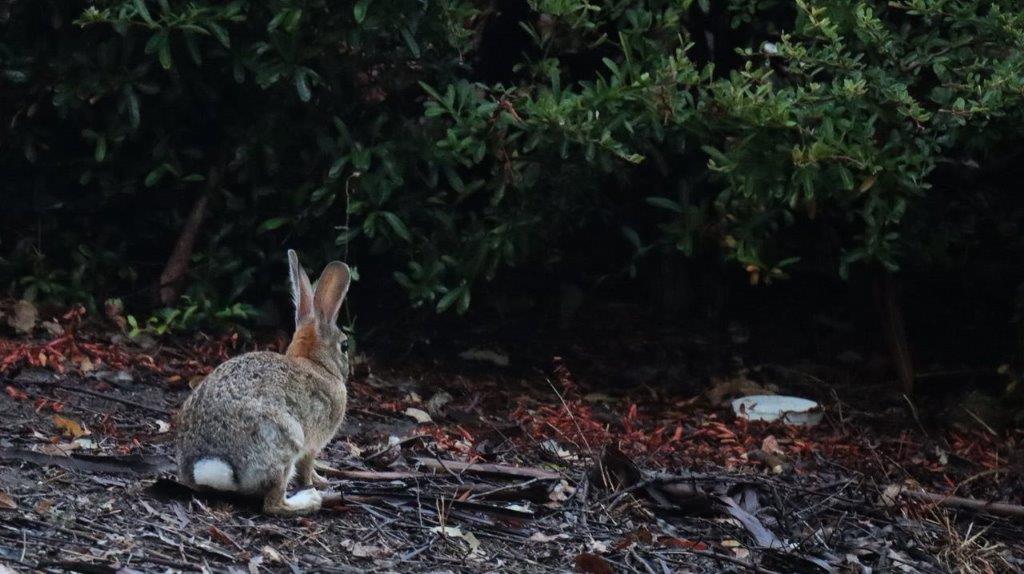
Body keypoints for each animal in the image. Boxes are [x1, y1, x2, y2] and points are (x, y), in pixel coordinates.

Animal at [176, 250, 352, 515]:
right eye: (345, 346)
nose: (349, 368)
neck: (315, 363)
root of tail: (213, 465)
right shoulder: (311, 444)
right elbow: (307, 467)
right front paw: (318, 482)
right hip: (286, 441)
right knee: (273, 504)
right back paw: (310, 500)